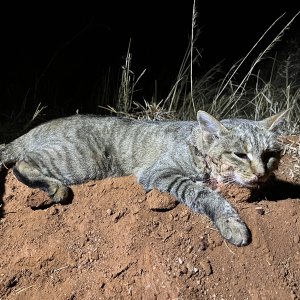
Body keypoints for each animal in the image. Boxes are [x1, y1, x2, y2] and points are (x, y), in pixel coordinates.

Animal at [0, 110, 286, 246]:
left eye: (269, 155)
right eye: (240, 154)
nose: (261, 174)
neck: (198, 146)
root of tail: (31, 131)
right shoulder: (159, 173)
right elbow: (205, 194)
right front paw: (232, 223)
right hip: (79, 160)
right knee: (22, 163)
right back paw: (54, 187)